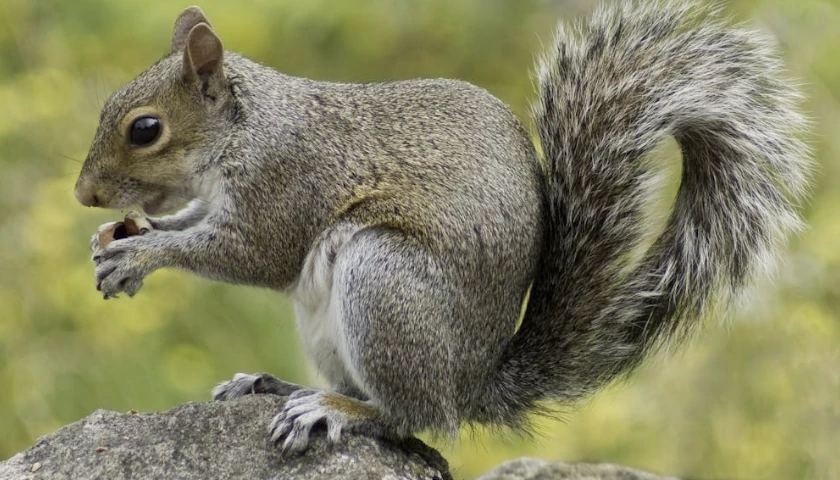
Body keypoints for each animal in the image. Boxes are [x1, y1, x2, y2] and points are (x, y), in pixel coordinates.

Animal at [74, 1, 811, 453]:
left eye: (145, 129)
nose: (84, 195)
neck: (245, 129)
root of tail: (472, 382)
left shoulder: (288, 182)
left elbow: (253, 253)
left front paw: (141, 254)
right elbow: (196, 220)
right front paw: (121, 236)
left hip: (384, 281)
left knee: (416, 418)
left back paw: (334, 411)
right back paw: (278, 386)